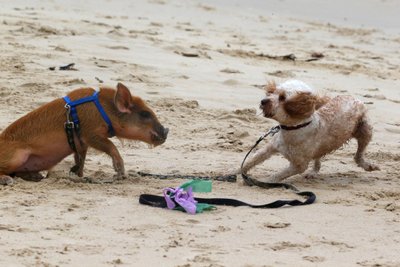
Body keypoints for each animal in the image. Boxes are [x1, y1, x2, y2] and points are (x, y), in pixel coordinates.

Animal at [241, 80, 378, 183]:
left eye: (282, 97)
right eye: (272, 92)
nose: (263, 101)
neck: (294, 129)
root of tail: (351, 97)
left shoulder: (299, 165)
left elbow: (277, 175)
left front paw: (263, 182)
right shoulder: (270, 148)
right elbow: (250, 161)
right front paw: (236, 173)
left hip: (365, 131)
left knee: (358, 155)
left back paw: (368, 165)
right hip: (320, 148)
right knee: (318, 159)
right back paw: (313, 172)